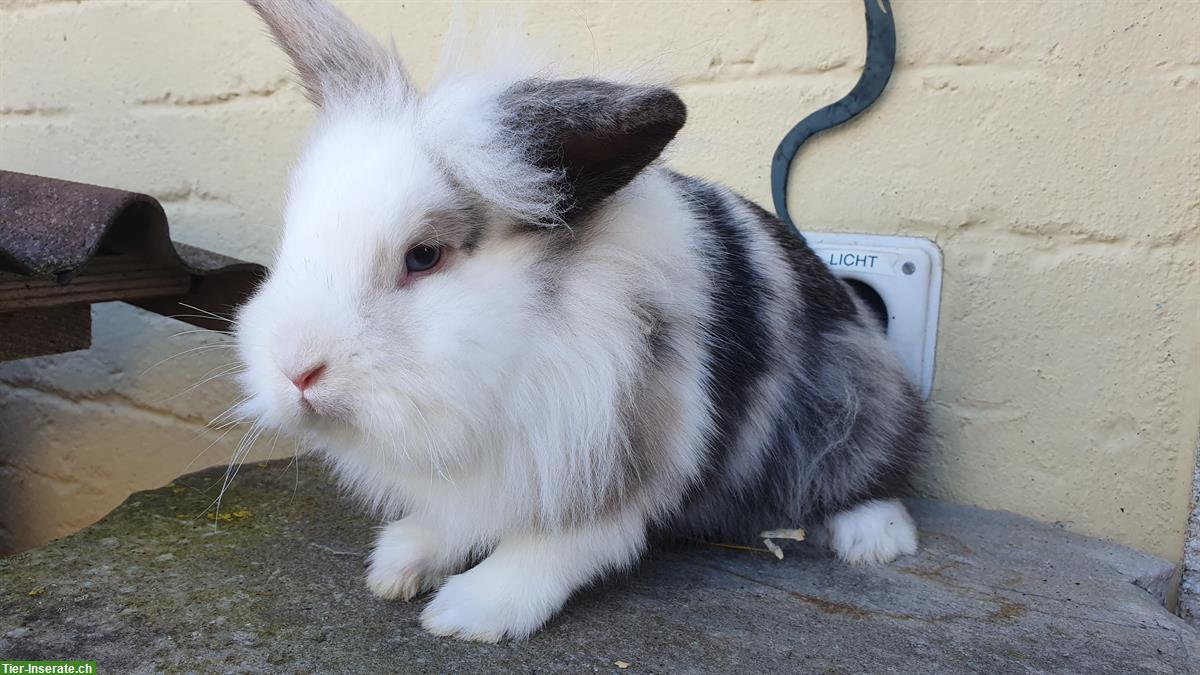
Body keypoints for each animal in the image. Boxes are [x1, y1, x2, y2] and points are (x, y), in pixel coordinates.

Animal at [234, 0, 926, 638]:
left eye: (424, 255)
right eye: (292, 237)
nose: (297, 372)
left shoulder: (623, 453)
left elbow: (559, 543)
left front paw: (471, 612)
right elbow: (452, 520)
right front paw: (400, 563)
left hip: (848, 402)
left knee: (874, 470)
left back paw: (875, 538)